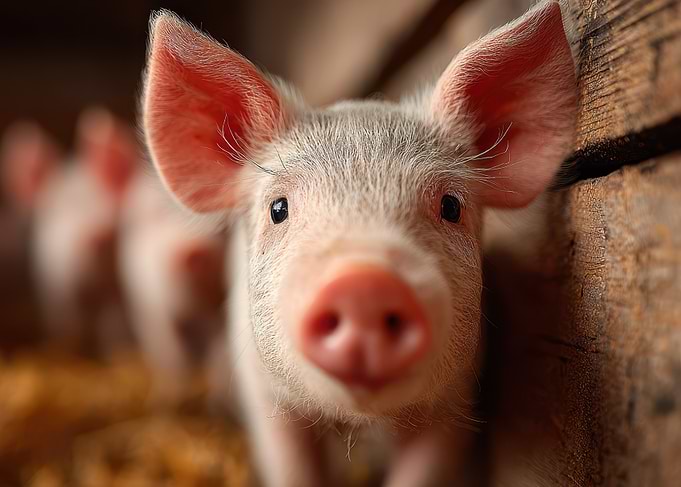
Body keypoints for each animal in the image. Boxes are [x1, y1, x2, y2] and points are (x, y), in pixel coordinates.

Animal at [140, 1, 577, 485]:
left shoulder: (457, 395)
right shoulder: (264, 392)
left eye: (450, 206)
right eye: (279, 208)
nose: (365, 285)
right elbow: (291, 465)